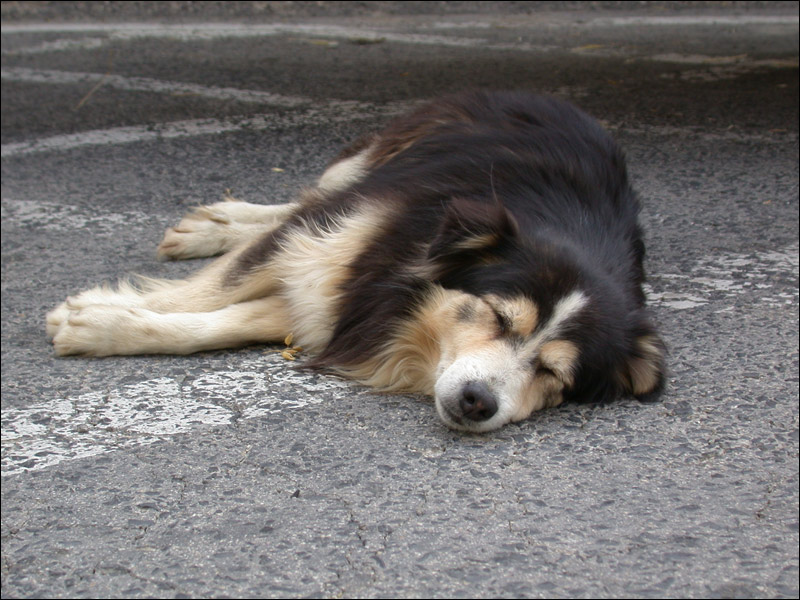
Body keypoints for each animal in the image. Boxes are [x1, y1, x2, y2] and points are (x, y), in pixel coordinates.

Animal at [47, 90, 664, 432]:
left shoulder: (349, 302)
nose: (477, 403)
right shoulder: (342, 236)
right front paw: (96, 316)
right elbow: (213, 290)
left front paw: (106, 324)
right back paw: (214, 226)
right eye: (497, 317)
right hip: (371, 164)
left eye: (554, 374)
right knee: (304, 201)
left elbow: (222, 323)